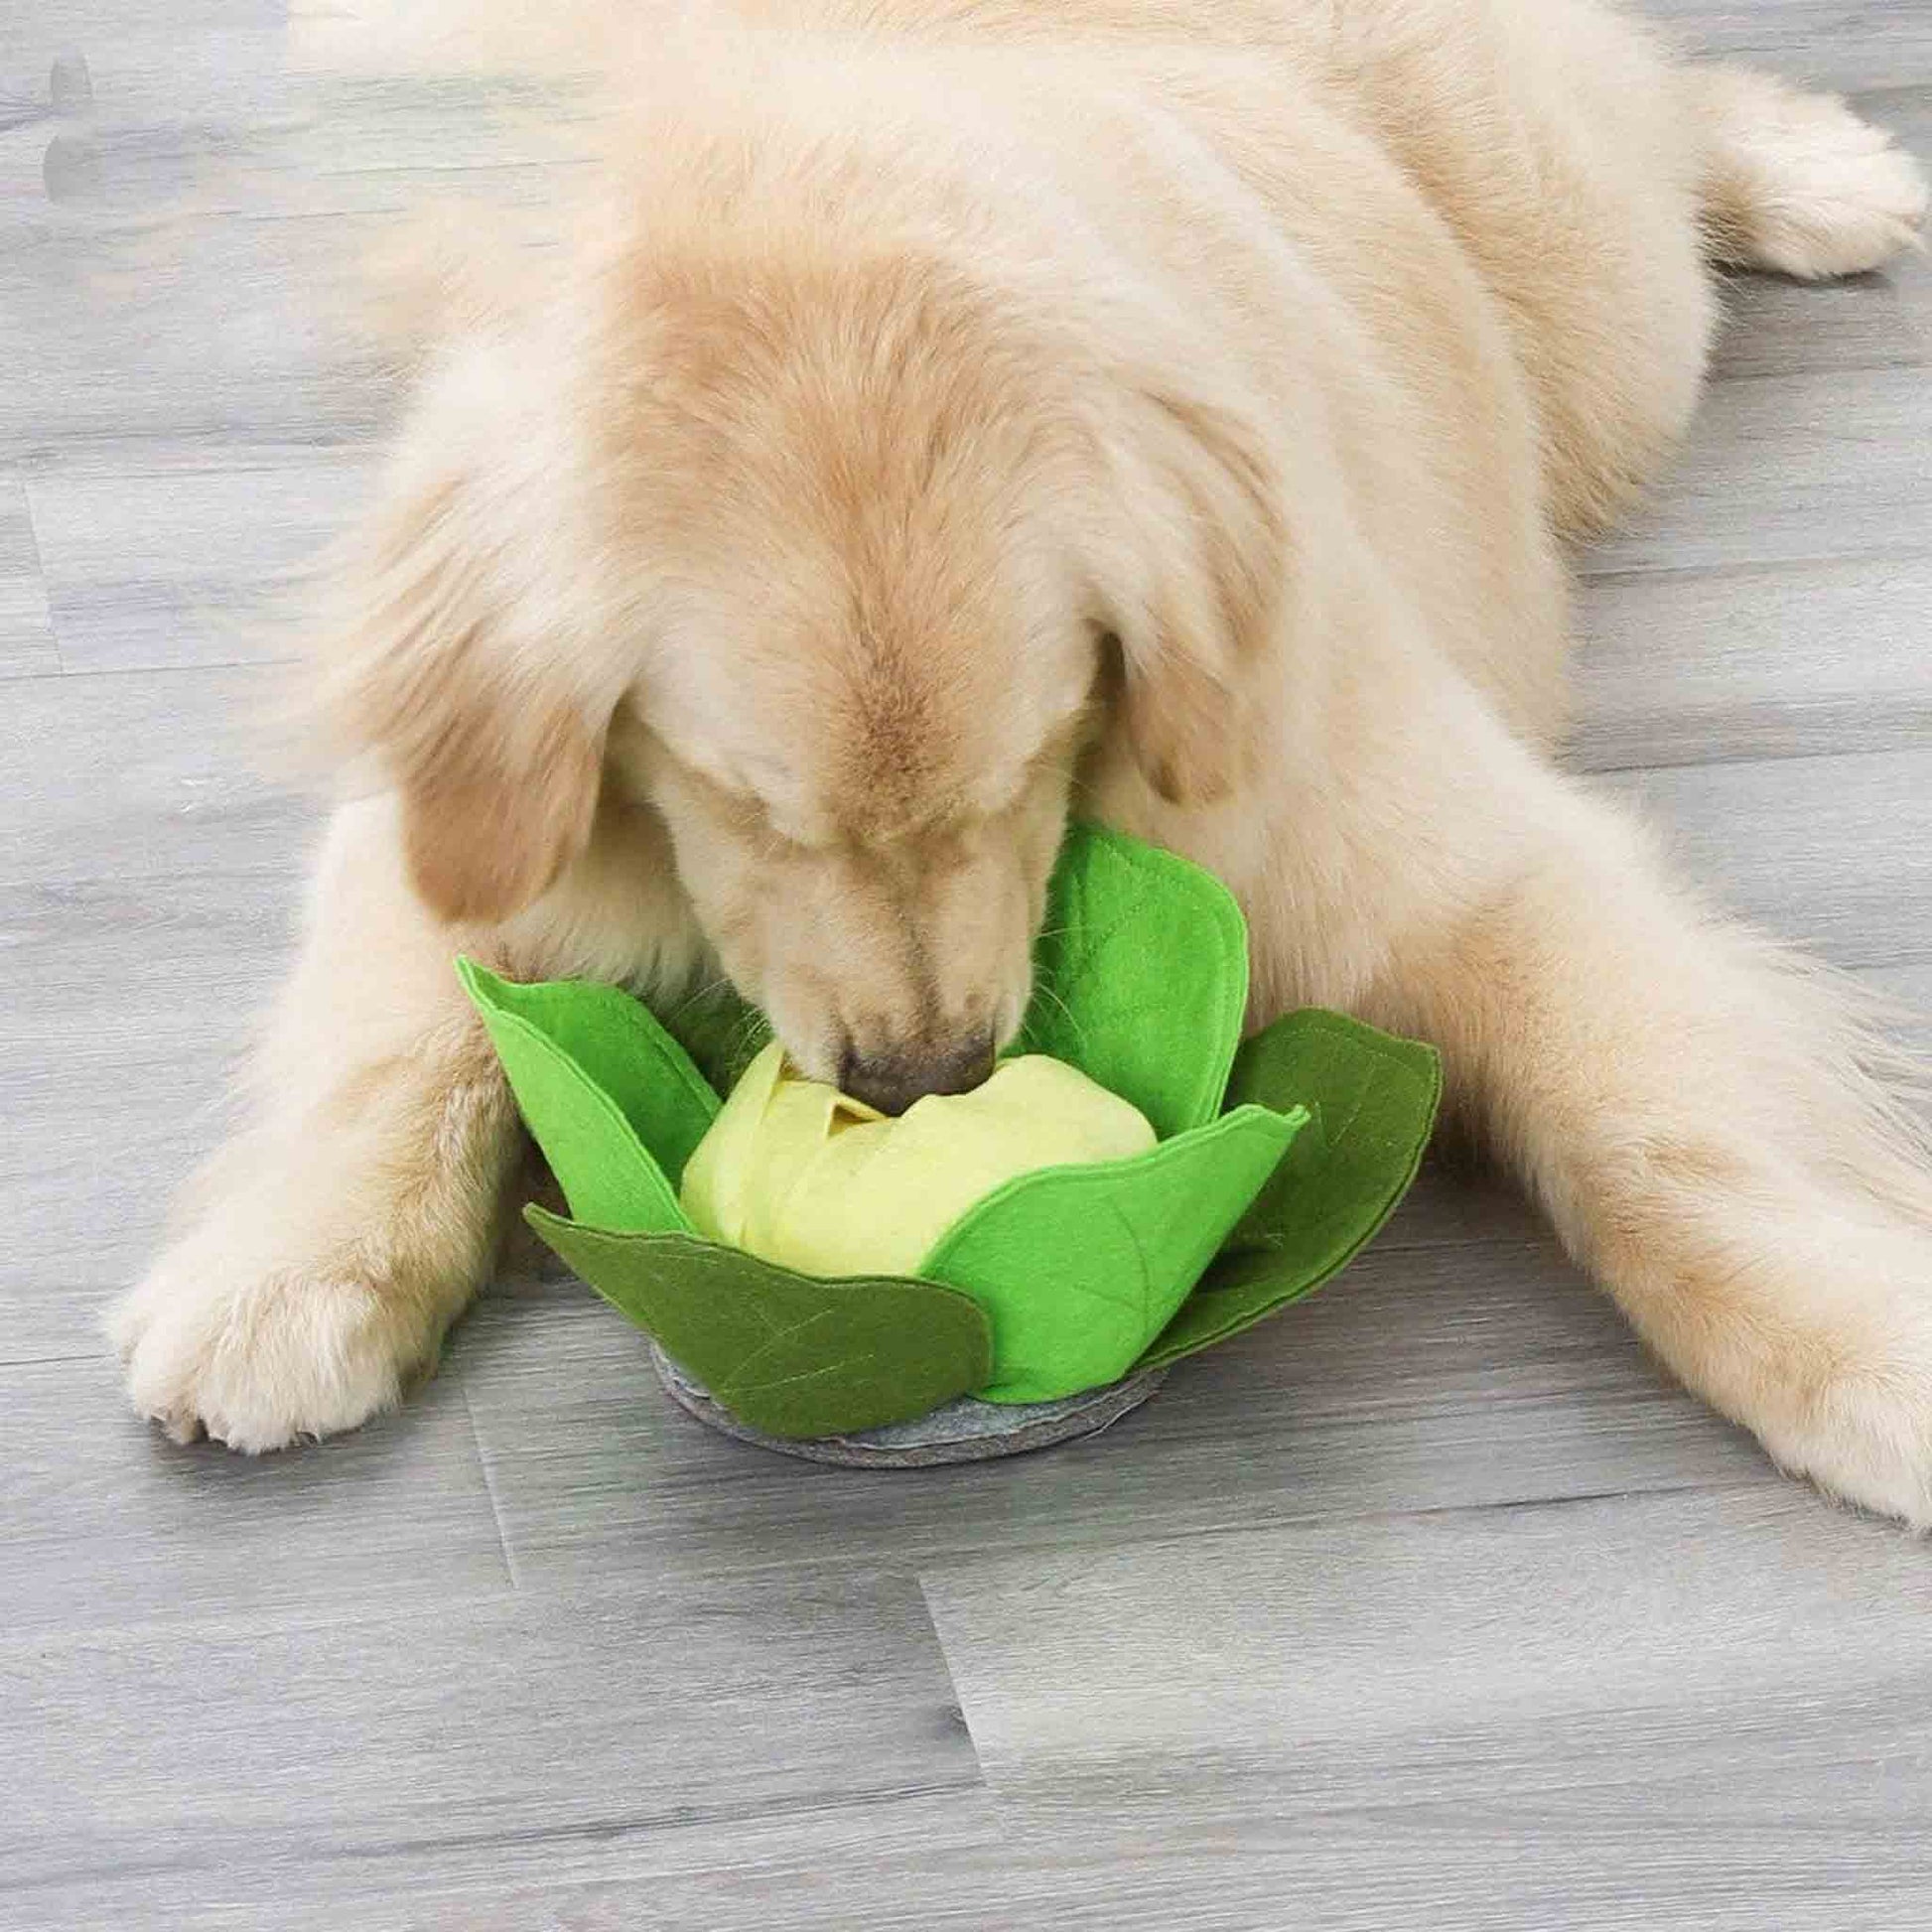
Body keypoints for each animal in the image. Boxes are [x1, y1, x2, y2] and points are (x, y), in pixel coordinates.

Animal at [105, 3, 1932, 1522]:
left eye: (1036, 753)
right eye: (748, 805)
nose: (925, 1080)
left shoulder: (1435, 853)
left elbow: (1658, 1135)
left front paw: (1863, 1344)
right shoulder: (463, 799)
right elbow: (397, 1043)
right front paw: (284, 1276)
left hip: (1599, 305)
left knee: (1655, 126)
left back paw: (1811, 172)